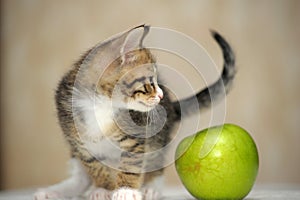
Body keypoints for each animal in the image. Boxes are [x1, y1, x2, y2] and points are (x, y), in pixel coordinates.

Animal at [32, 25, 234, 200]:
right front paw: (103, 189)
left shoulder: (136, 141)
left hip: (157, 139)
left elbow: (131, 166)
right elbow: (95, 168)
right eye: (150, 82)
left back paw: (151, 188)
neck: (102, 106)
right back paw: (55, 191)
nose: (160, 95)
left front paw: (125, 191)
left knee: (155, 165)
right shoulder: (80, 144)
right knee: (80, 177)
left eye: (157, 81)